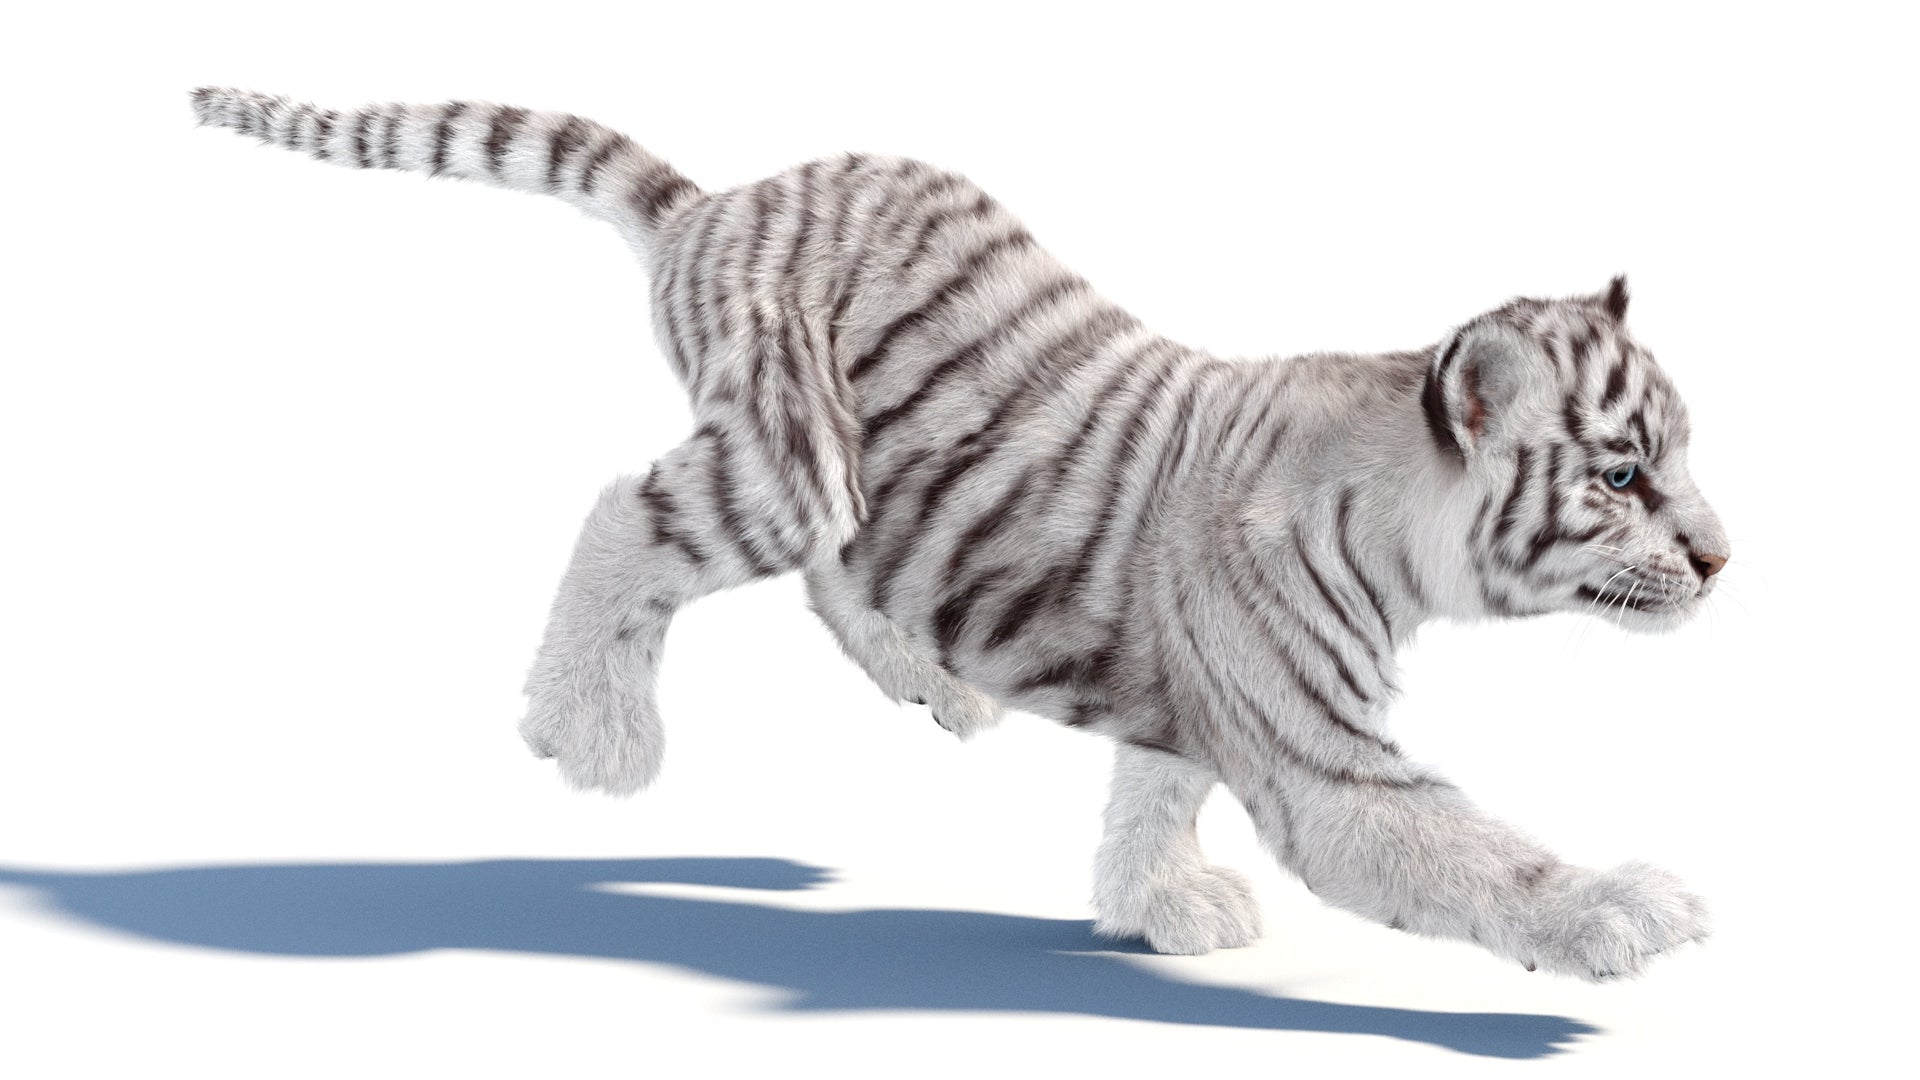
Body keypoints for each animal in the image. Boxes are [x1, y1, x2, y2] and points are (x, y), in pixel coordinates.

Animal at [190, 87, 1729, 982]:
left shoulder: (1197, 699)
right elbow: (1480, 854)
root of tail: (717, 203)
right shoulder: (1326, 763)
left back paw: (934, 680)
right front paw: (1622, 912)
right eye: (1622, 473)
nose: (1722, 558)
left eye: (1680, 459)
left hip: (859, 473)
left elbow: (1149, 792)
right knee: (629, 514)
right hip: (784, 463)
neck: (1399, 525)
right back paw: (595, 729)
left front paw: (1154, 907)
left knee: (839, 574)